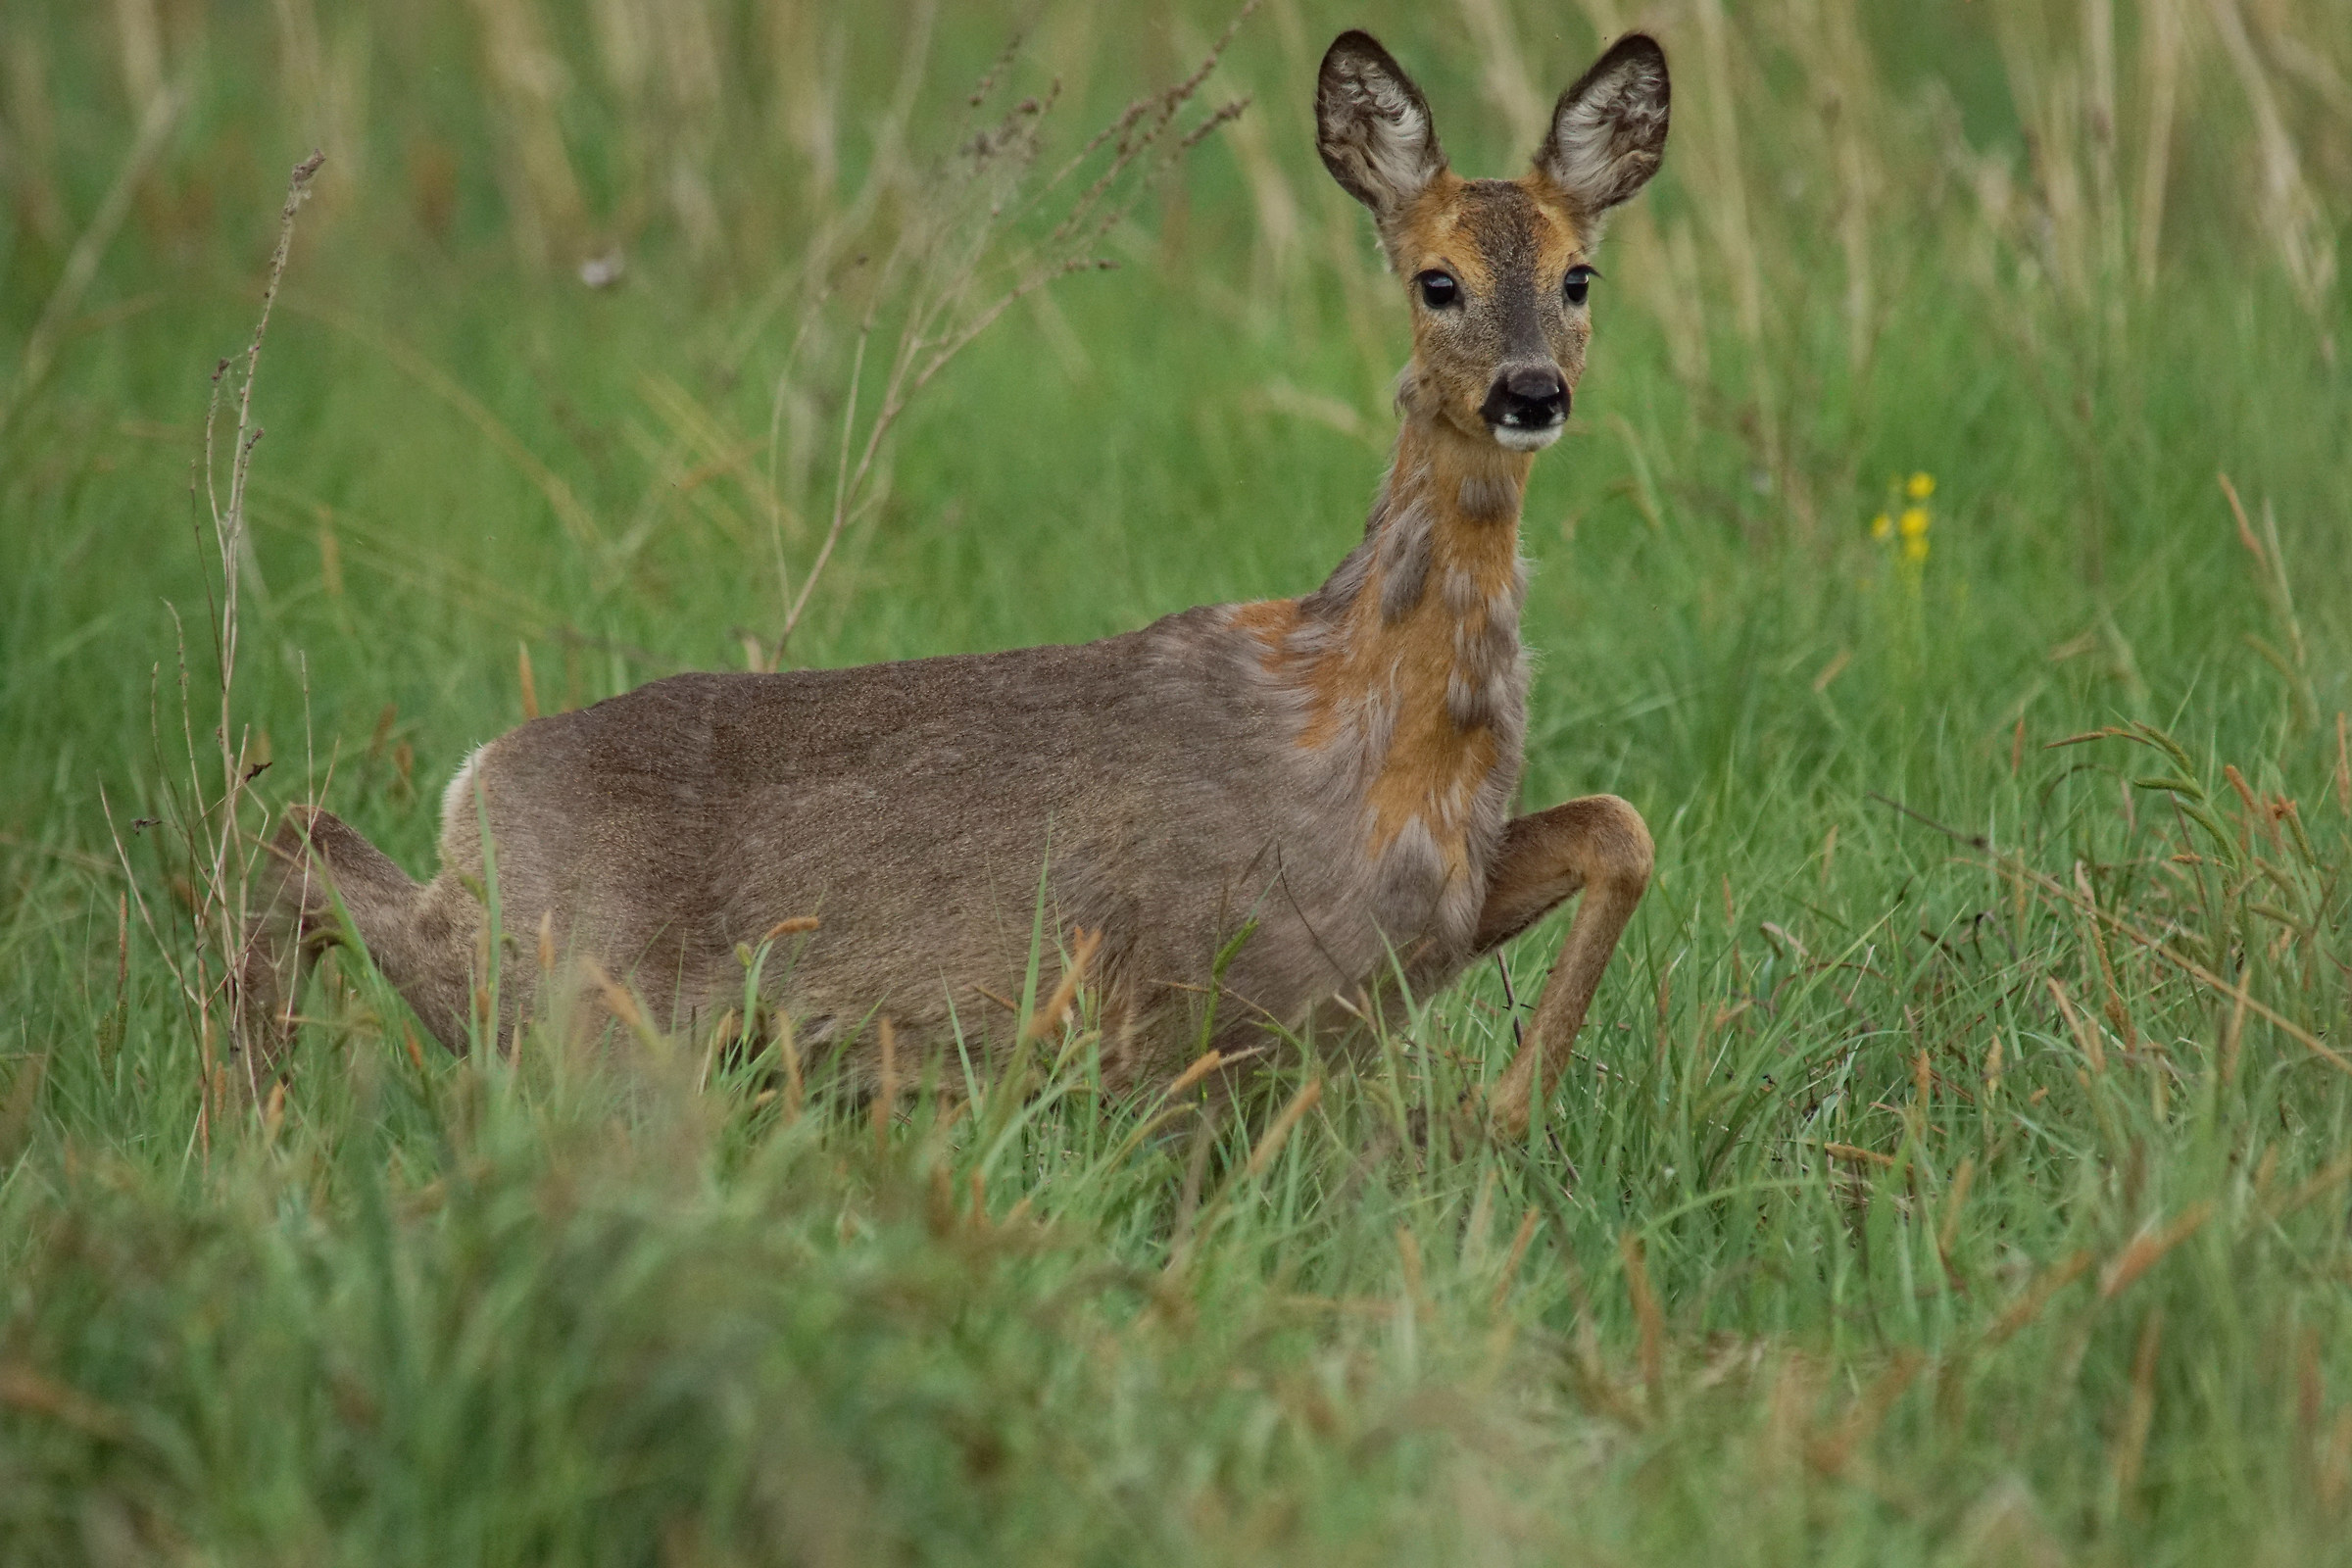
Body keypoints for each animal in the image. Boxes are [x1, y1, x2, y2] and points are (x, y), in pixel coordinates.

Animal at [237, 29, 1670, 1139]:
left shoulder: (1417, 927)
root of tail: (479, 778)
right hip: (582, 1001)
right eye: (1438, 281)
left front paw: (1498, 1109)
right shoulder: (1217, 992)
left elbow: (1620, 826)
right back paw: (255, 1110)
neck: (1364, 715)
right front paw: (1487, 1114)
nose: (1531, 392)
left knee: (309, 839)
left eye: (1577, 276)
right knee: (310, 854)